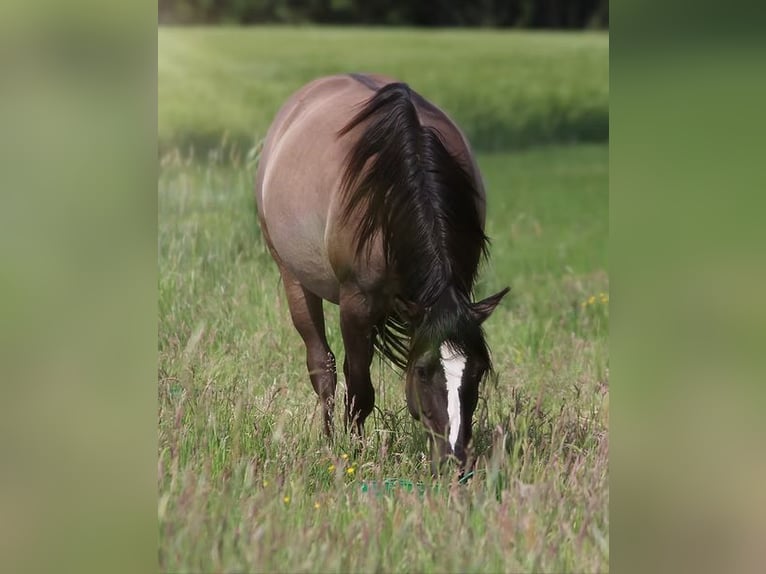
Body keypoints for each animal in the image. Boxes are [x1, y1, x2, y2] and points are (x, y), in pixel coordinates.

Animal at [256, 73, 510, 476]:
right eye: (422, 371)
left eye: (479, 371)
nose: (455, 462)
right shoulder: (357, 304)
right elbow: (360, 390)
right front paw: (354, 453)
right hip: (294, 278)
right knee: (323, 366)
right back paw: (328, 440)